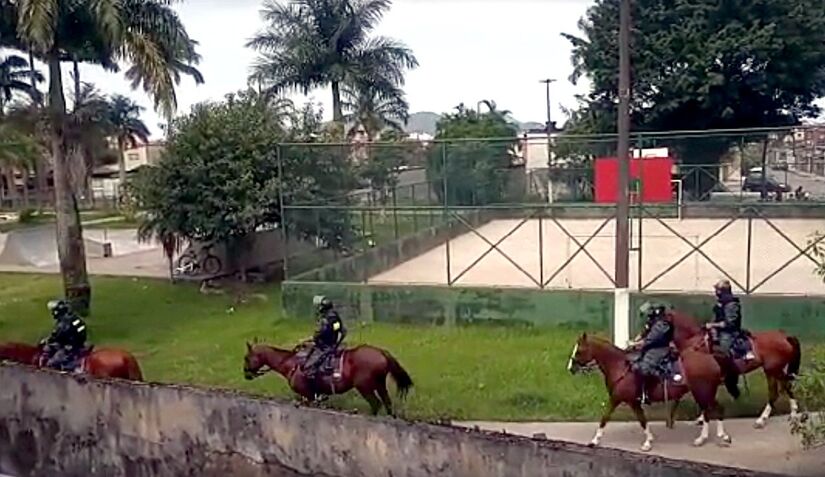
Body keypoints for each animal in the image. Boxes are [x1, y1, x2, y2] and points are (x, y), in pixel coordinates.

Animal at [243, 340, 412, 414]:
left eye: (246, 357)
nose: (246, 374)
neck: (291, 364)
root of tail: (382, 353)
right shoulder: (313, 396)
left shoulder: (308, 395)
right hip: (379, 384)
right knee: (387, 403)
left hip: (365, 387)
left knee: (376, 404)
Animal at [568, 330, 728, 450]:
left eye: (579, 351)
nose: (571, 368)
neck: (620, 367)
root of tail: (711, 358)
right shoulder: (631, 402)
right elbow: (641, 419)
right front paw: (649, 440)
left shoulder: (618, 399)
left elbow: (606, 418)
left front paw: (594, 440)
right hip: (703, 393)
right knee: (710, 411)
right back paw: (708, 438)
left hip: (703, 392)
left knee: (713, 410)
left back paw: (716, 437)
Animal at [668, 310, 800, 430]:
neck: (695, 345)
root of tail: (784, 336)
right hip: (771, 371)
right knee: (775, 392)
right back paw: (763, 419)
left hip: (775, 370)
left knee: (785, 387)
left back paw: (791, 415)